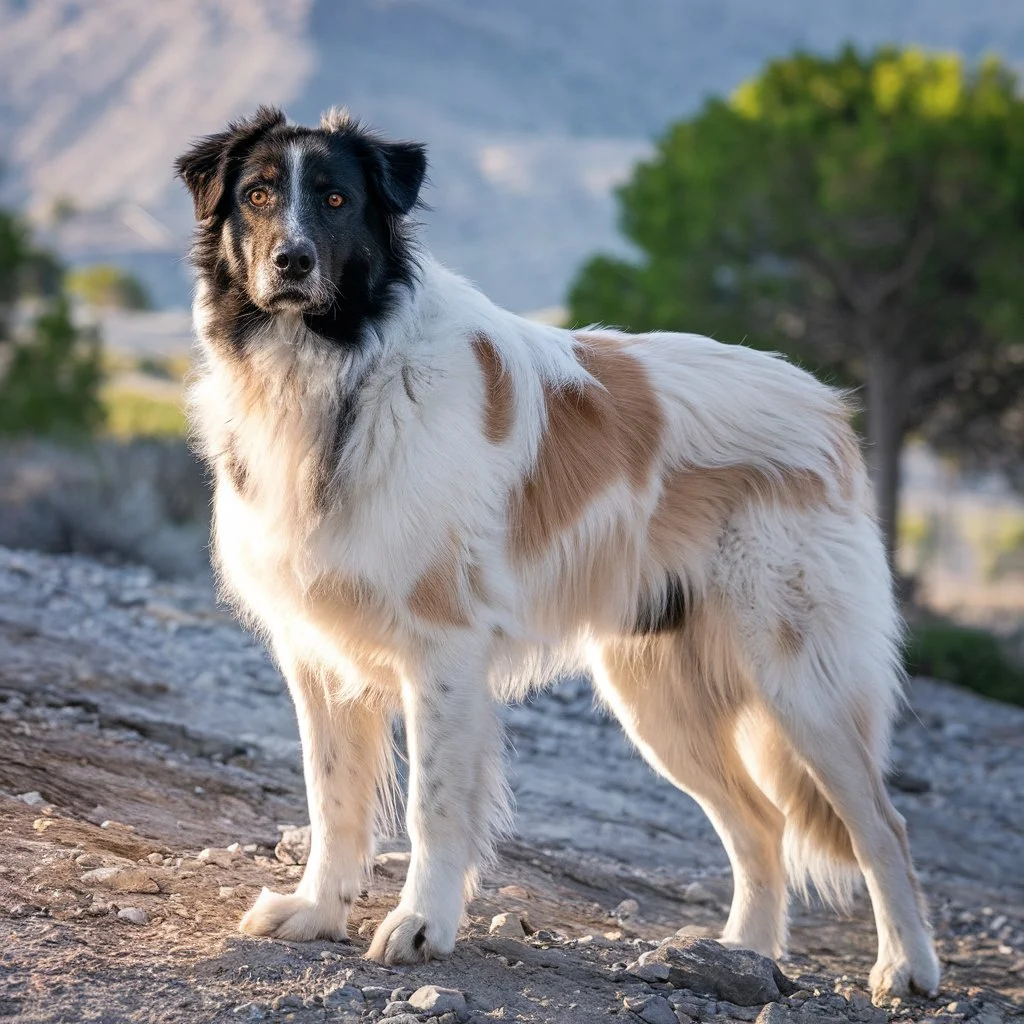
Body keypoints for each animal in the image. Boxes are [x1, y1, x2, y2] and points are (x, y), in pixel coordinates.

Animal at [174, 110, 937, 999]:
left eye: (335, 198)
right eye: (258, 194)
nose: (290, 261)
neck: (342, 371)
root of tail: (826, 406)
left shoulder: (443, 652)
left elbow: (434, 804)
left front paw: (421, 925)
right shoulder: (317, 655)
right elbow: (332, 799)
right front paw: (317, 911)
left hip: (801, 678)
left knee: (883, 826)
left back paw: (905, 967)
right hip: (658, 697)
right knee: (762, 823)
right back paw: (745, 955)